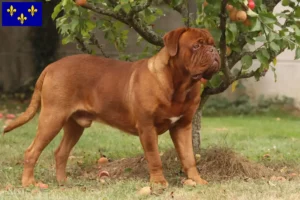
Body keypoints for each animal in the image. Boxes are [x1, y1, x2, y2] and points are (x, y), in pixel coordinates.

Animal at [2, 27, 220, 188]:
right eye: (196, 45)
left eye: (212, 44)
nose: (215, 52)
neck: (179, 85)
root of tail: (51, 66)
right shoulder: (147, 127)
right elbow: (154, 157)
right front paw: (158, 183)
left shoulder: (182, 126)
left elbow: (189, 157)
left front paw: (197, 180)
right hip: (52, 118)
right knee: (32, 151)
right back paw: (29, 183)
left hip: (74, 125)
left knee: (61, 152)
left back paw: (63, 181)